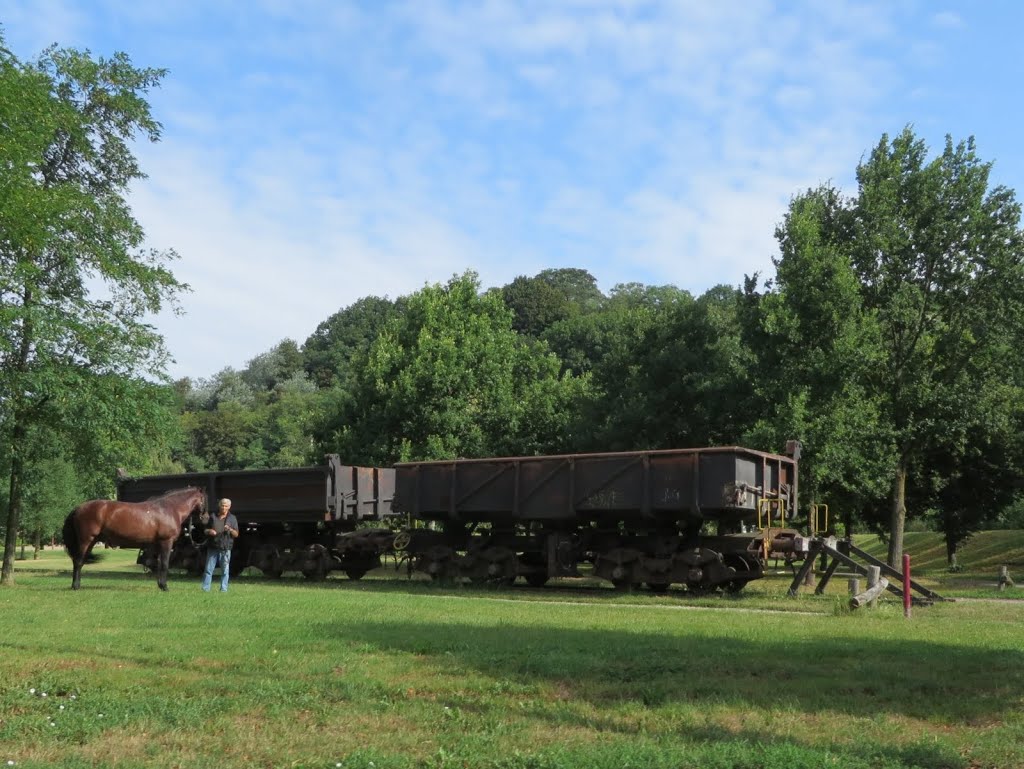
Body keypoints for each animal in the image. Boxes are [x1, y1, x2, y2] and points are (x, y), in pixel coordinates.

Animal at [62, 487, 207, 589]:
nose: (205, 518)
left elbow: (157, 563)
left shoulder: (156, 544)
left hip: (91, 541)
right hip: (86, 540)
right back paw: (75, 586)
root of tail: (78, 508)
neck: (169, 509)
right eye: (204, 499)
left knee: (80, 562)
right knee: (78, 562)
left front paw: (160, 584)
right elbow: (165, 564)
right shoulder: (166, 541)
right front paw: (165, 586)